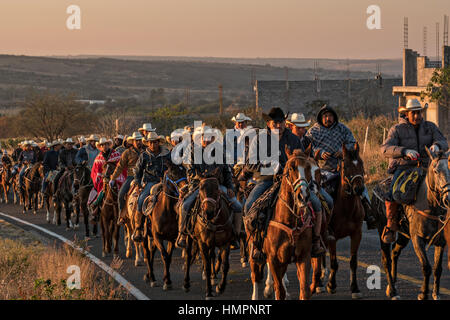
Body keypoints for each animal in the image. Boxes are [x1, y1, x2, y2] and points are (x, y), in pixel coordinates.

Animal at [326, 144, 366, 298]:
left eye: (361, 164)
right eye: (346, 166)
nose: (359, 189)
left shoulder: (357, 234)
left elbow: (353, 262)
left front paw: (355, 288)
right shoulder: (331, 236)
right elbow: (333, 262)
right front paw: (331, 285)